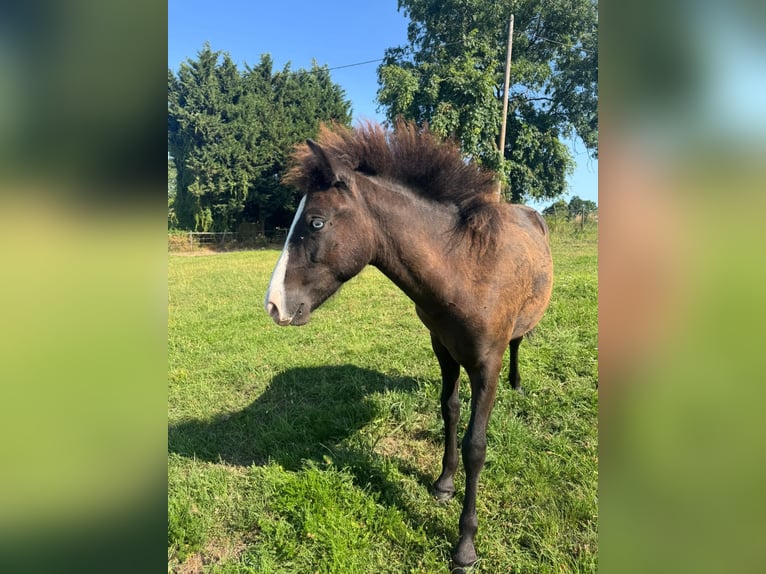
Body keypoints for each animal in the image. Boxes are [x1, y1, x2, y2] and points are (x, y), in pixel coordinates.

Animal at [264, 120, 553, 569]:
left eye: (315, 223)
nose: (274, 304)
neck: (466, 269)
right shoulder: (444, 350)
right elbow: (449, 410)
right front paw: (444, 483)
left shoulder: (486, 364)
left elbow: (476, 446)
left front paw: (465, 546)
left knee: (520, 342)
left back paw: (518, 383)